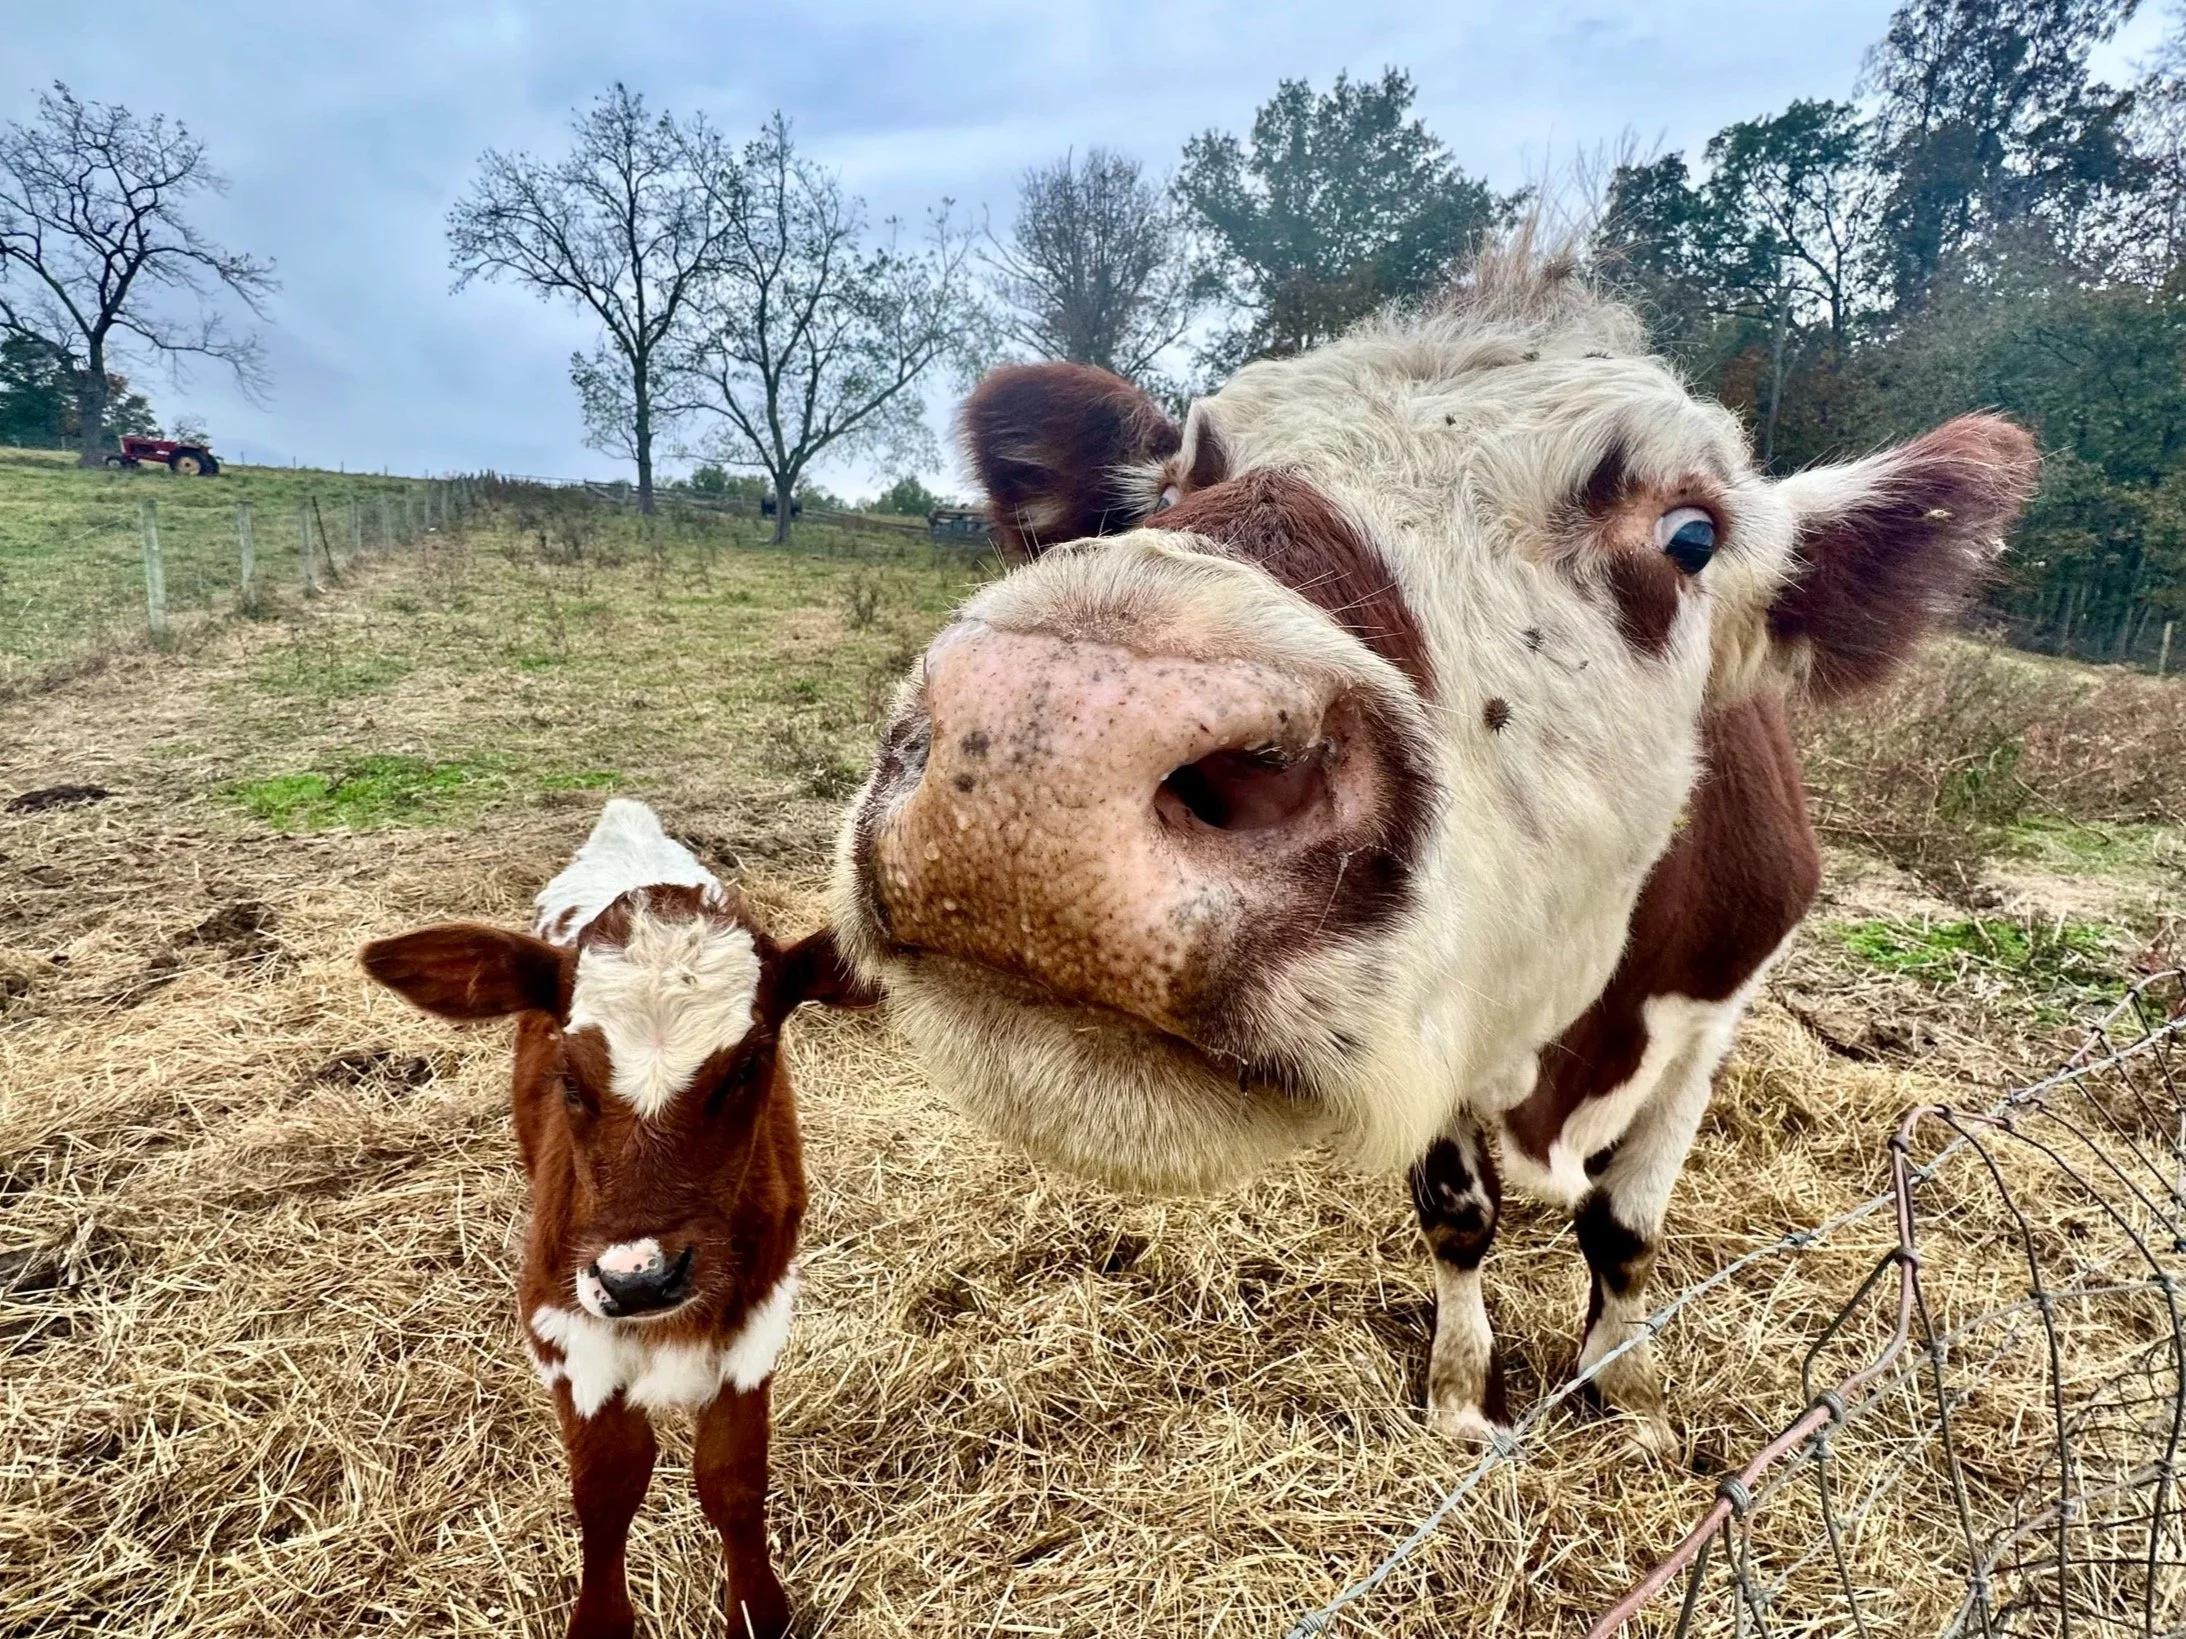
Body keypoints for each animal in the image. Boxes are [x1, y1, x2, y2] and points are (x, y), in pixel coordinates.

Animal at [362, 799, 869, 1639]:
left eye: (749, 1065)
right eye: (568, 1074)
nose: (640, 1278)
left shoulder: (762, 1309)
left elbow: (732, 1475)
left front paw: (756, 1608)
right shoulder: (559, 1316)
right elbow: (606, 1482)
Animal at [829, 246, 2038, 1454]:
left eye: (1690, 536)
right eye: (1171, 485)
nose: (1052, 725)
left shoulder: (1709, 1022)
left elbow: (1627, 1230)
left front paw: (1630, 1396)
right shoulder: (1451, 1026)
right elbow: (1458, 1217)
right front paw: (1463, 1393)